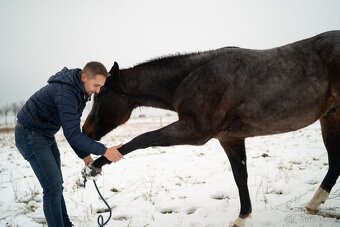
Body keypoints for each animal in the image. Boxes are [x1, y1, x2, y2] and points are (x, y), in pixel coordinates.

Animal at [83, 30, 340, 227]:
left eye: (100, 95)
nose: (85, 131)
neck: (191, 78)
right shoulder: (229, 139)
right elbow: (240, 176)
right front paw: (242, 218)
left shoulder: (195, 131)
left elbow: (143, 139)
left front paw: (96, 166)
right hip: (331, 117)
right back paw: (313, 204)